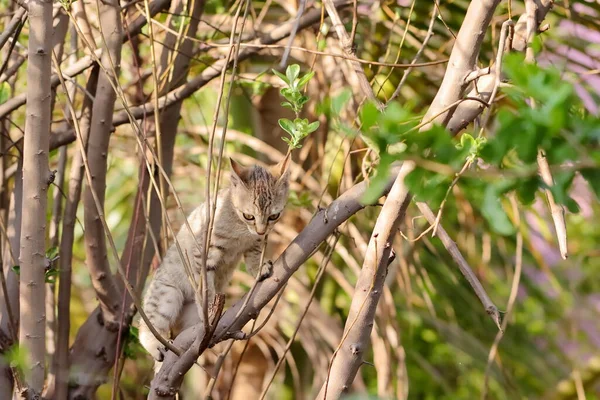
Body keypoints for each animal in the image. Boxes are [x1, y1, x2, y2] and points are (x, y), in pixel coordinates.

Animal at [141, 156, 290, 366]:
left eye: (273, 216)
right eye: (249, 216)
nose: (261, 230)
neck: (241, 228)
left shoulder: (255, 243)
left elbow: (253, 256)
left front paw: (259, 268)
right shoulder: (203, 254)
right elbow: (206, 288)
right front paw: (211, 309)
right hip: (166, 295)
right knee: (148, 324)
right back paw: (155, 344)